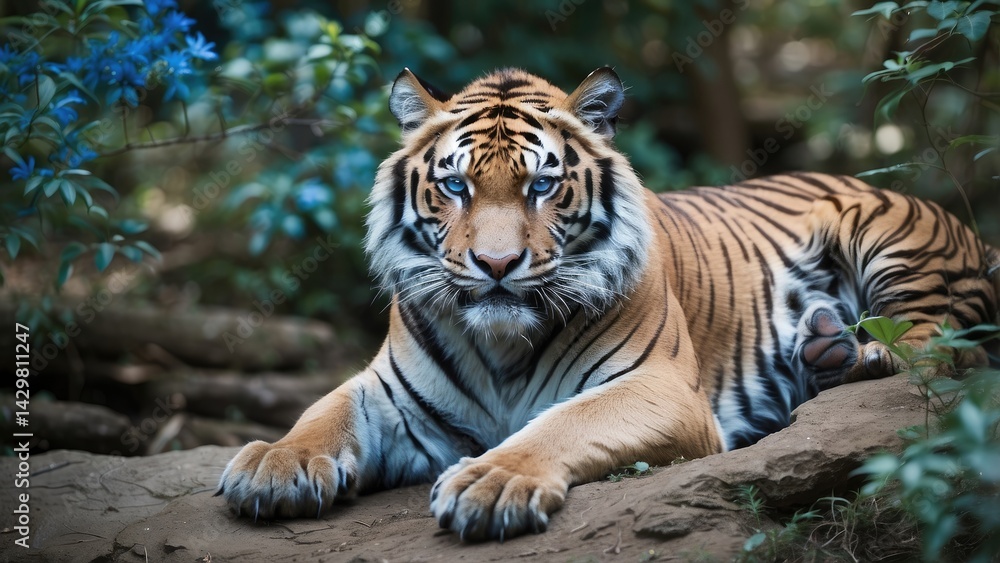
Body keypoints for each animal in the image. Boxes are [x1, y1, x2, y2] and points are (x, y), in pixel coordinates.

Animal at [217, 67, 1000, 542]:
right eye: (457, 186)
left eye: (540, 185)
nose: (495, 266)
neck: (500, 345)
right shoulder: (388, 393)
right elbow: (322, 411)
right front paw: (273, 465)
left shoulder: (660, 388)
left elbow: (562, 422)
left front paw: (491, 481)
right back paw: (826, 348)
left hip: (883, 233)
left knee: (941, 345)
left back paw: (860, 356)